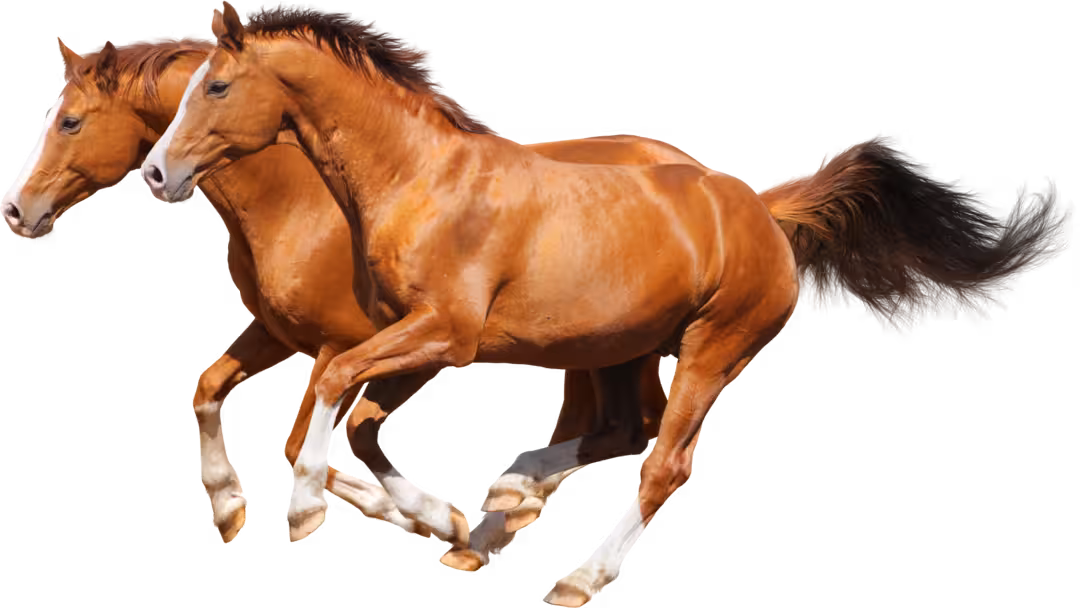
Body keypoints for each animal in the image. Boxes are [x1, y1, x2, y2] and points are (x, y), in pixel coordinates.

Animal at [138, 1, 1076, 605]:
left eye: (214, 89)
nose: (155, 174)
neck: (420, 182)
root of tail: (758, 207)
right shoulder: (406, 339)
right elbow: (346, 413)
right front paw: (437, 518)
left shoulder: (441, 337)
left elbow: (334, 397)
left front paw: (302, 513)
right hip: (615, 347)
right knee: (623, 428)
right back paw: (504, 505)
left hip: (714, 349)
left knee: (664, 462)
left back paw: (574, 574)